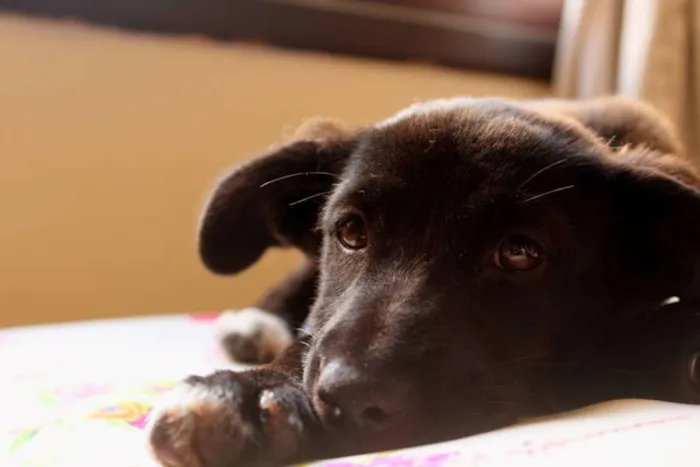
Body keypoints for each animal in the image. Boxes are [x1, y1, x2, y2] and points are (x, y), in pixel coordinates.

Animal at [142, 97, 700, 466]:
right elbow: (311, 338)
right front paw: (255, 390)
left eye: (520, 253)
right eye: (350, 232)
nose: (349, 397)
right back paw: (254, 326)